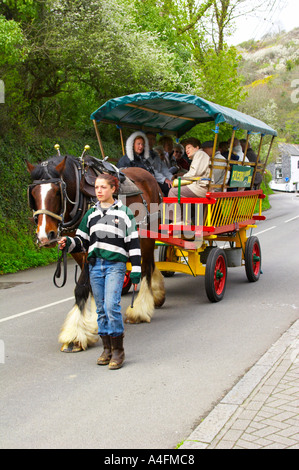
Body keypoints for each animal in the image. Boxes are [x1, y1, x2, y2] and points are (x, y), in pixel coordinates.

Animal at [26, 154, 166, 352]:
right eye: (33, 194)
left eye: (57, 192)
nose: (46, 236)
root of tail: (148, 174)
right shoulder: (78, 248)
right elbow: (92, 285)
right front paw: (93, 322)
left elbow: (81, 288)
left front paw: (75, 335)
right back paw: (156, 295)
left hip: (147, 234)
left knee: (146, 267)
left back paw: (139, 310)